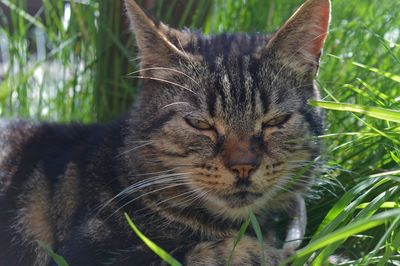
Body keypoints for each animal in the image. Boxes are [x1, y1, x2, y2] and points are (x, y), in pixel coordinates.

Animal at [0, 0, 330, 264]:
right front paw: (260, 252)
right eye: (200, 124)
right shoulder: (88, 253)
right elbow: (206, 254)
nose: (243, 166)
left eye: (276, 121)